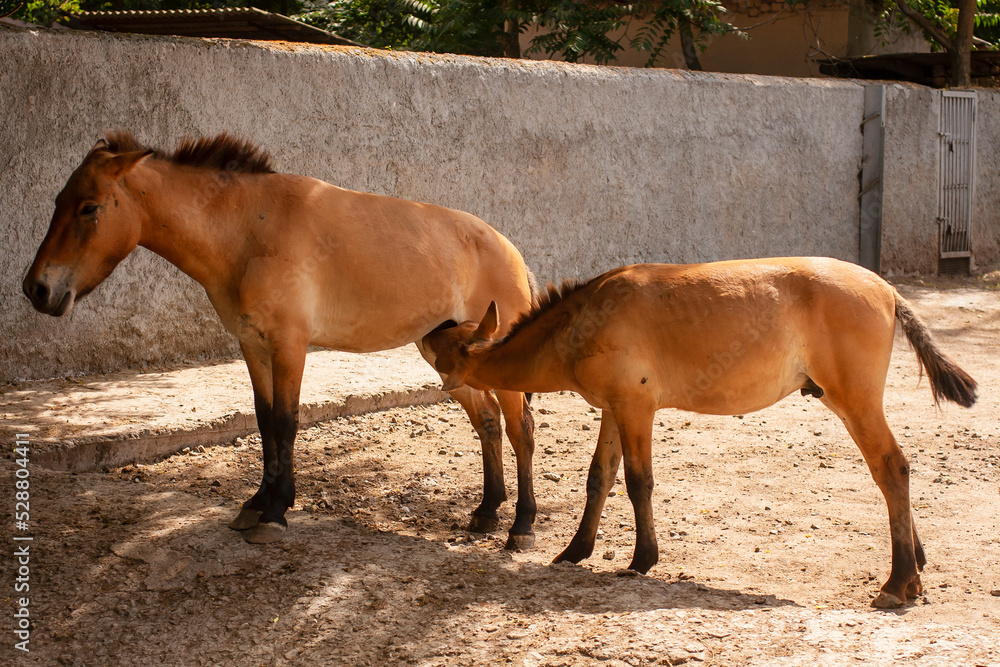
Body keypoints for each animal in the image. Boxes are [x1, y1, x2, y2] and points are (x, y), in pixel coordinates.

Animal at [23, 131, 539, 549]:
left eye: (90, 207)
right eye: (57, 201)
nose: (37, 289)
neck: (248, 229)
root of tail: (508, 248)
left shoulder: (289, 345)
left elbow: (287, 421)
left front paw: (275, 514)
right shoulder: (253, 345)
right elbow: (265, 420)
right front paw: (257, 502)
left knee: (521, 428)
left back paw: (522, 526)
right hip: (448, 355)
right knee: (488, 422)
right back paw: (487, 512)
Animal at [422, 258, 977, 608]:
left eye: (445, 345)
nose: (428, 330)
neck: (585, 318)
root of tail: (887, 291)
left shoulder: (637, 408)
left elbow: (638, 483)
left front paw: (642, 559)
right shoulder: (614, 410)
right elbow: (599, 477)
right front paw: (576, 550)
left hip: (855, 402)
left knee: (892, 467)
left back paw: (899, 582)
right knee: (893, 471)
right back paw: (916, 567)